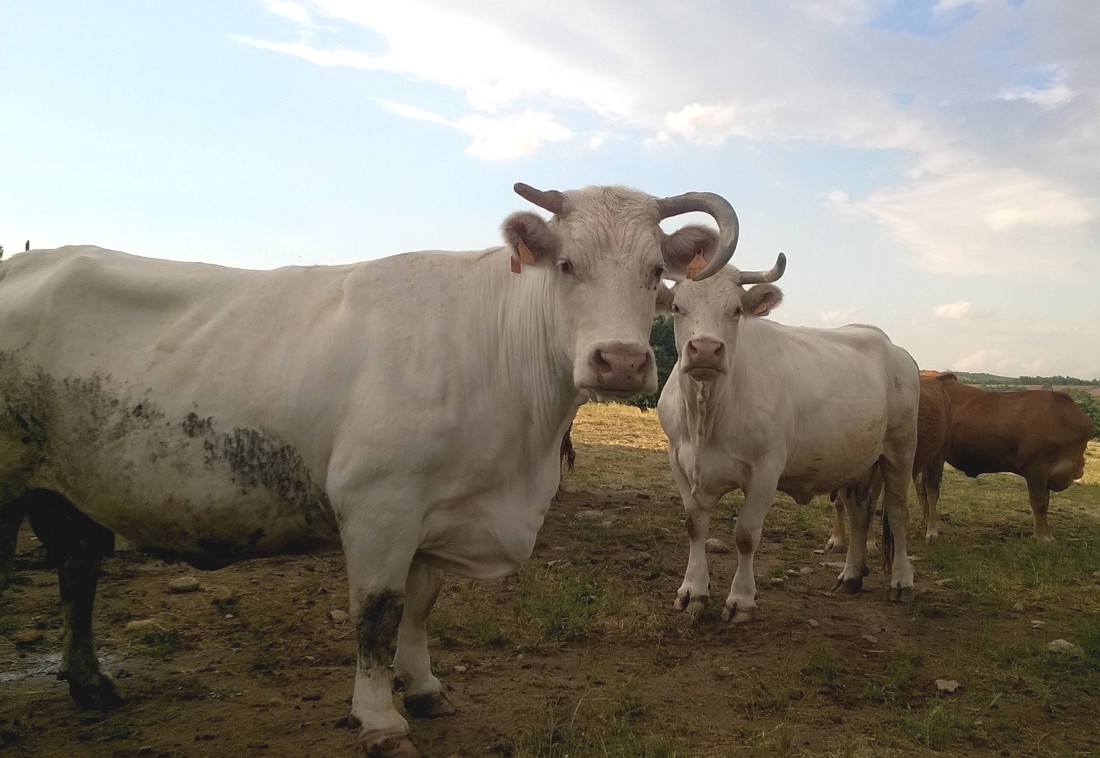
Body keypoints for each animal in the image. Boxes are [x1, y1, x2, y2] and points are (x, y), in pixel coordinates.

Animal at [2, 184, 739, 756]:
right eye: (565, 263)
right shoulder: (380, 506)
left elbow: (419, 607)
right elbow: (376, 615)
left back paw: (91, 683)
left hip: (64, 490)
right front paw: (381, 718)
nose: (621, 362)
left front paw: (424, 688)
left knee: (79, 566)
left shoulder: (439, 515)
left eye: (654, 271)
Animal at [655, 262, 924, 624]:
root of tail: (895, 349)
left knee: (896, 512)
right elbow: (694, 526)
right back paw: (850, 576)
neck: (706, 415)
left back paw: (902, 582)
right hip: (855, 460)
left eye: (736, 310)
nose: (707, 350)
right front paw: (692, 592)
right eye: (676, 307)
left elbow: (745, 535)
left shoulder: (766, 469)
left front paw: (741, 600)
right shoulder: (678, 460)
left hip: (900, 449)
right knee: (859, 513)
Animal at [919, 371, 1091, 539]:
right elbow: (1040, 504)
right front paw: (1043, 537)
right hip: (936, 455)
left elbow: (1045, 504)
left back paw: (925, 522)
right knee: (932, 490)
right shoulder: (1037, 469)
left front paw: (1045, 533)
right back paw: (932, 531)